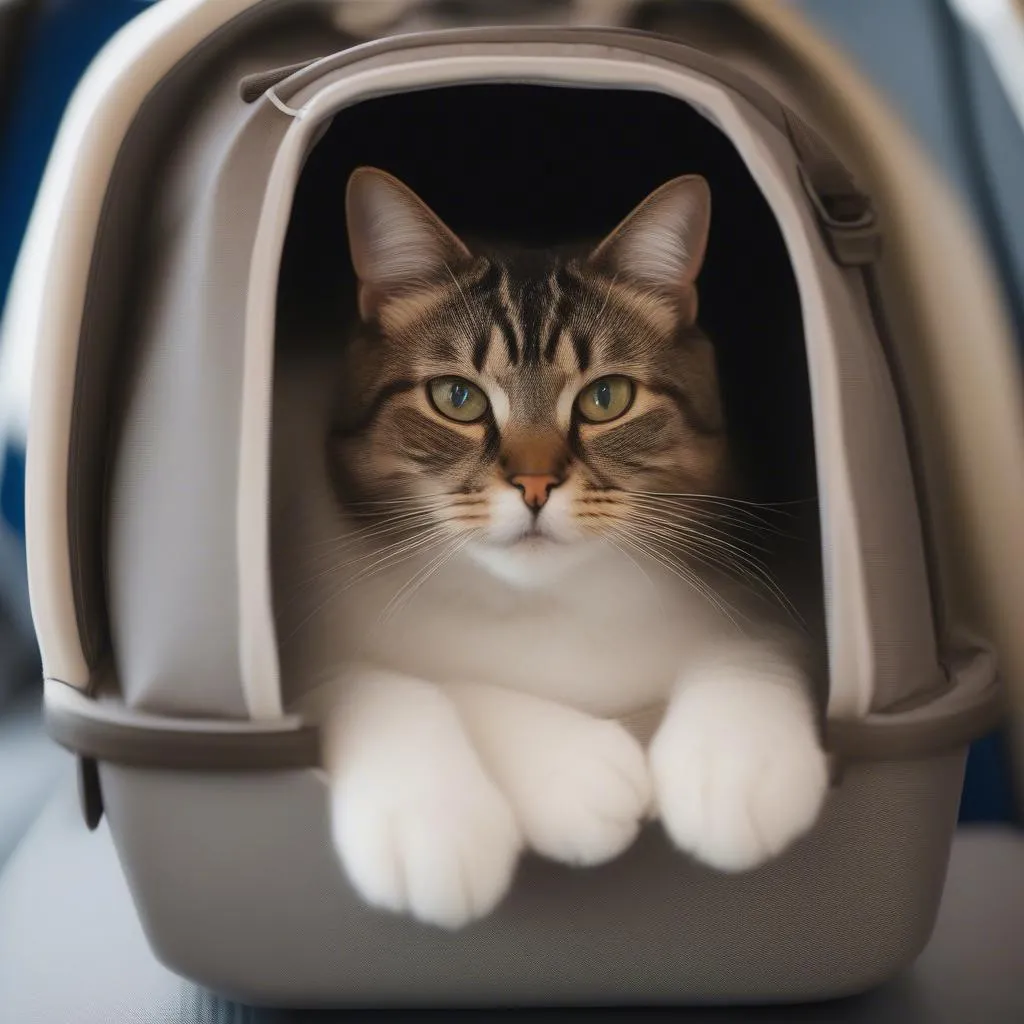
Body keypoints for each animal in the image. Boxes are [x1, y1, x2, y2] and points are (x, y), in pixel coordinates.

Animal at [284, 165, 827, 929]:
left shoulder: (772, 591)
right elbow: (401, 685)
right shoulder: (301, 666)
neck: (543, 605)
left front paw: (736, 764)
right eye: (457, 398)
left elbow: (753, 645)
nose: (535, 485)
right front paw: (452, 813)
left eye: (607, 398)